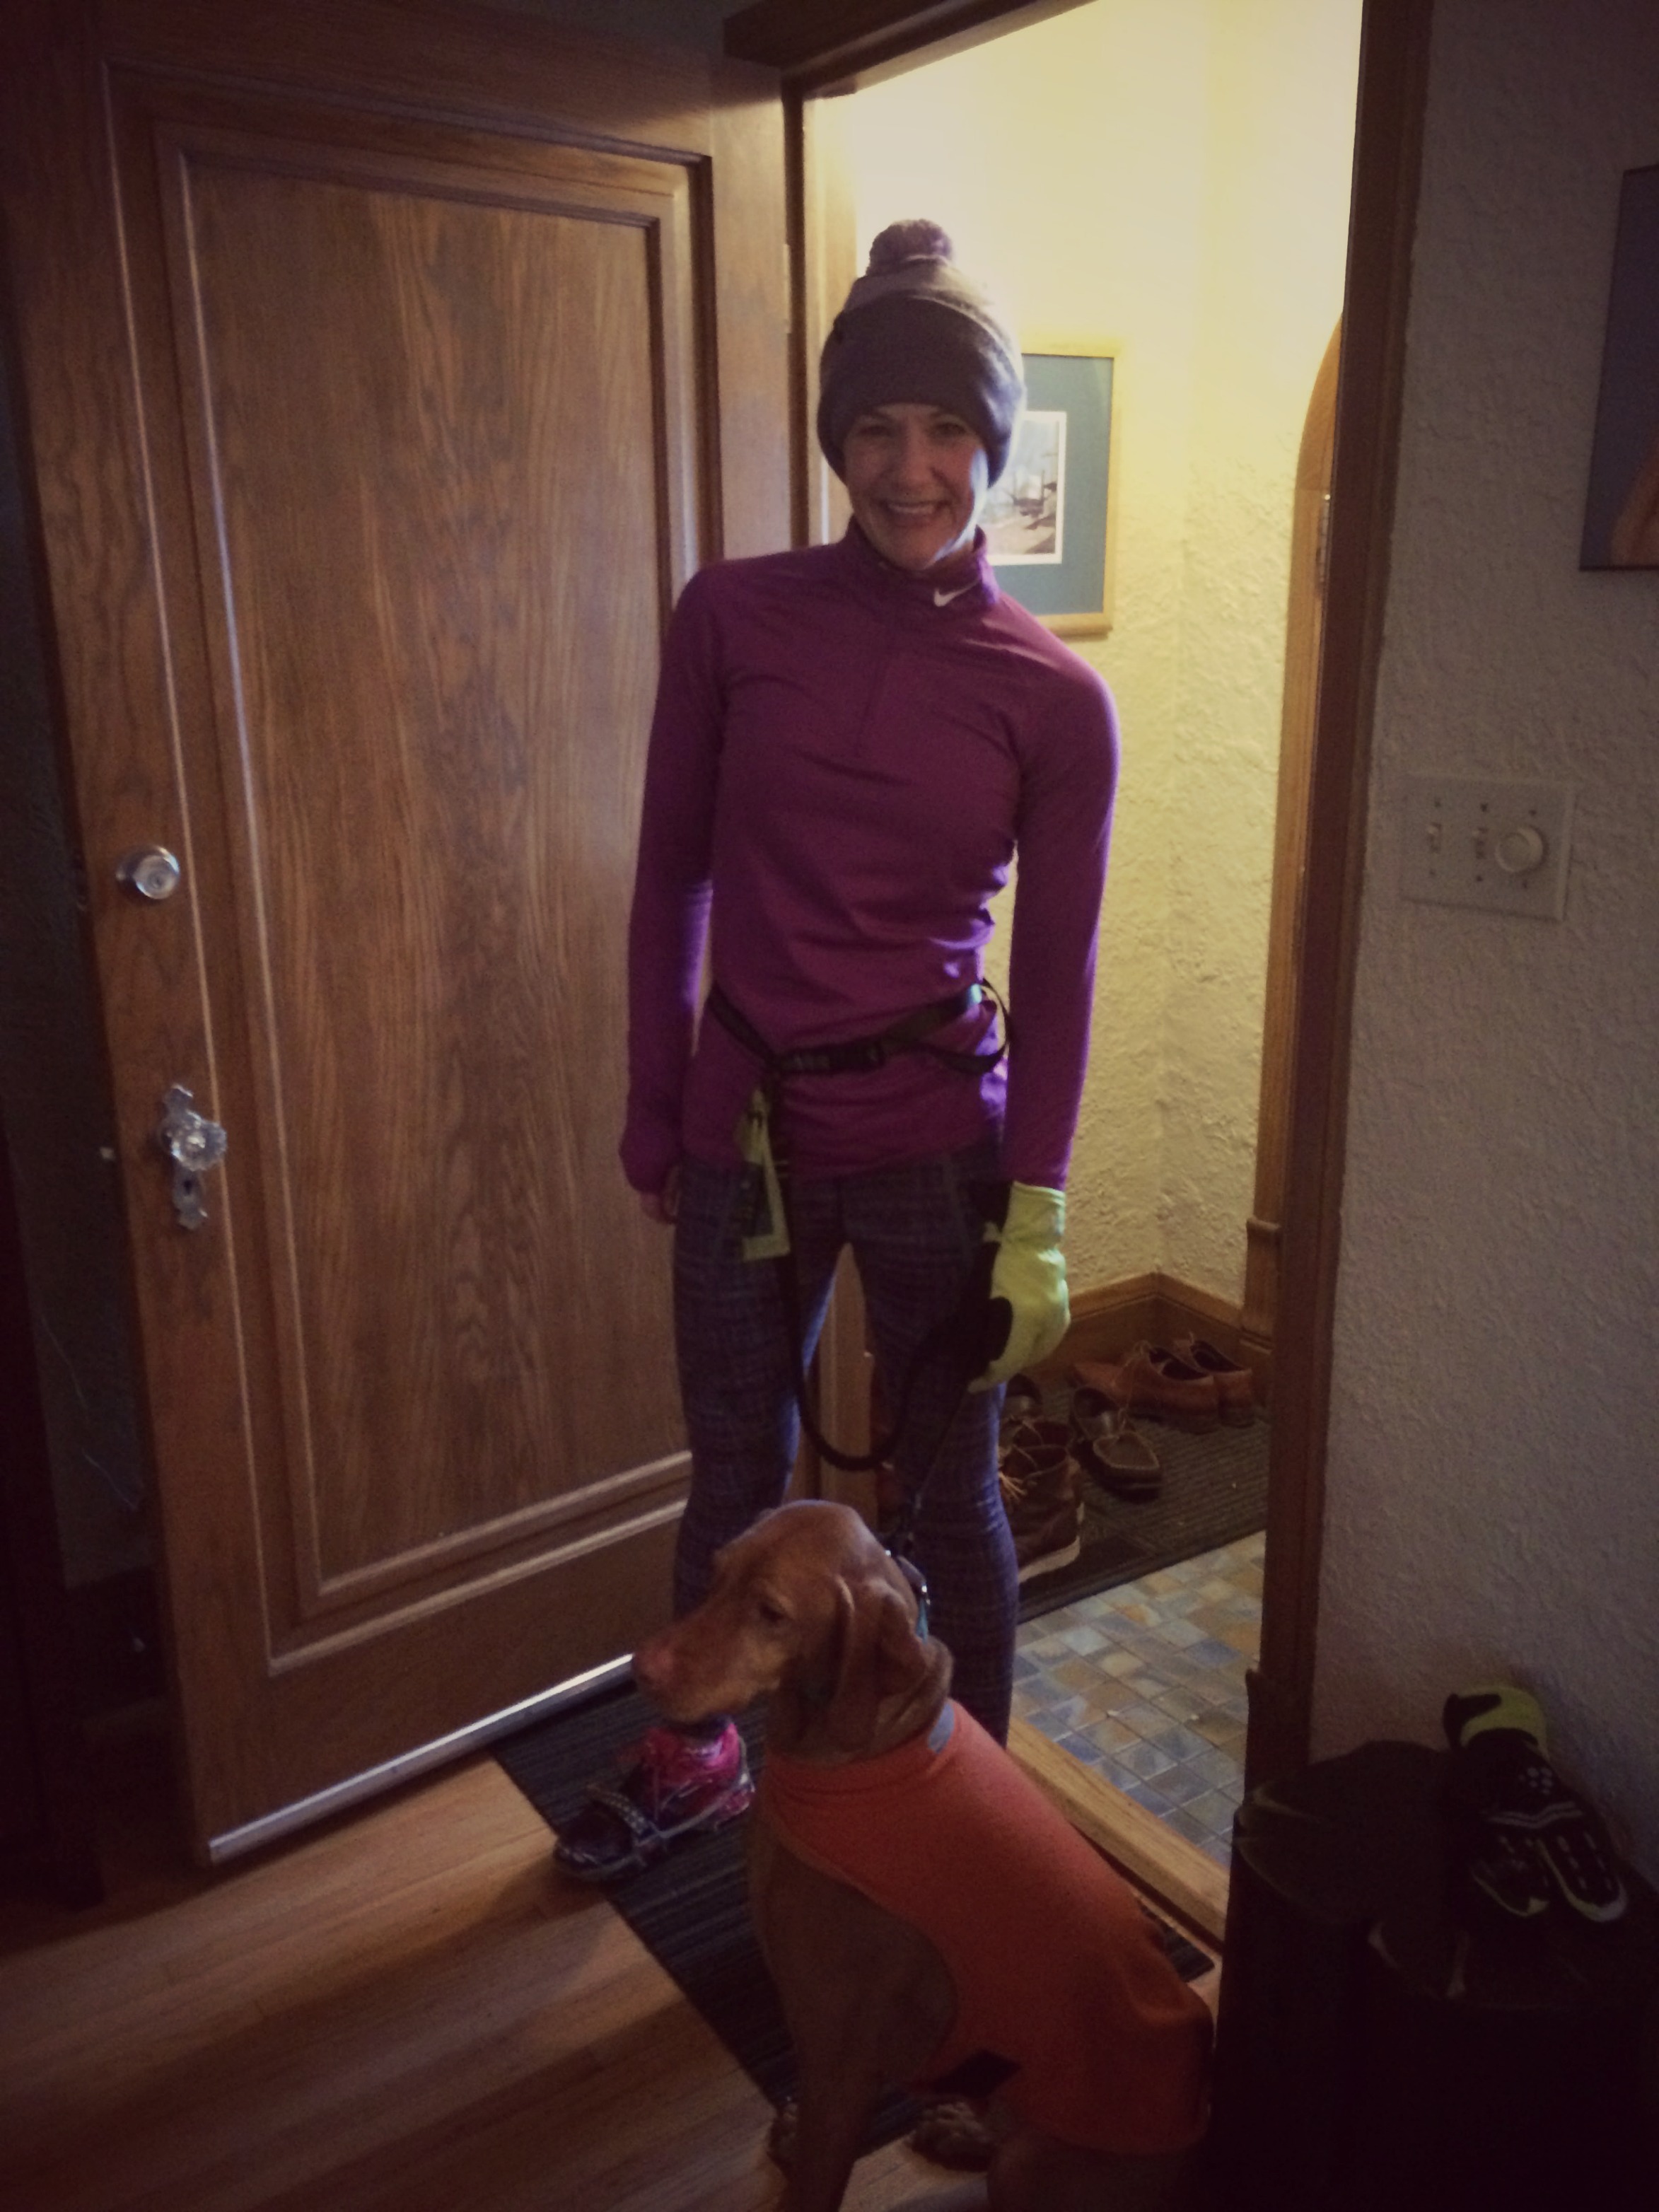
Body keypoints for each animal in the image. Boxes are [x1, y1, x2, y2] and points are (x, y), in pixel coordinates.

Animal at [632, 1500, 1212, 2212]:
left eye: (770, 1612)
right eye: (716, 1574)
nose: (641, 1668)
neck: (870, 1748)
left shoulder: (841, 2057)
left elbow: (817, 2180)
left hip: (1030, 2166)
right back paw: (961, 2127)